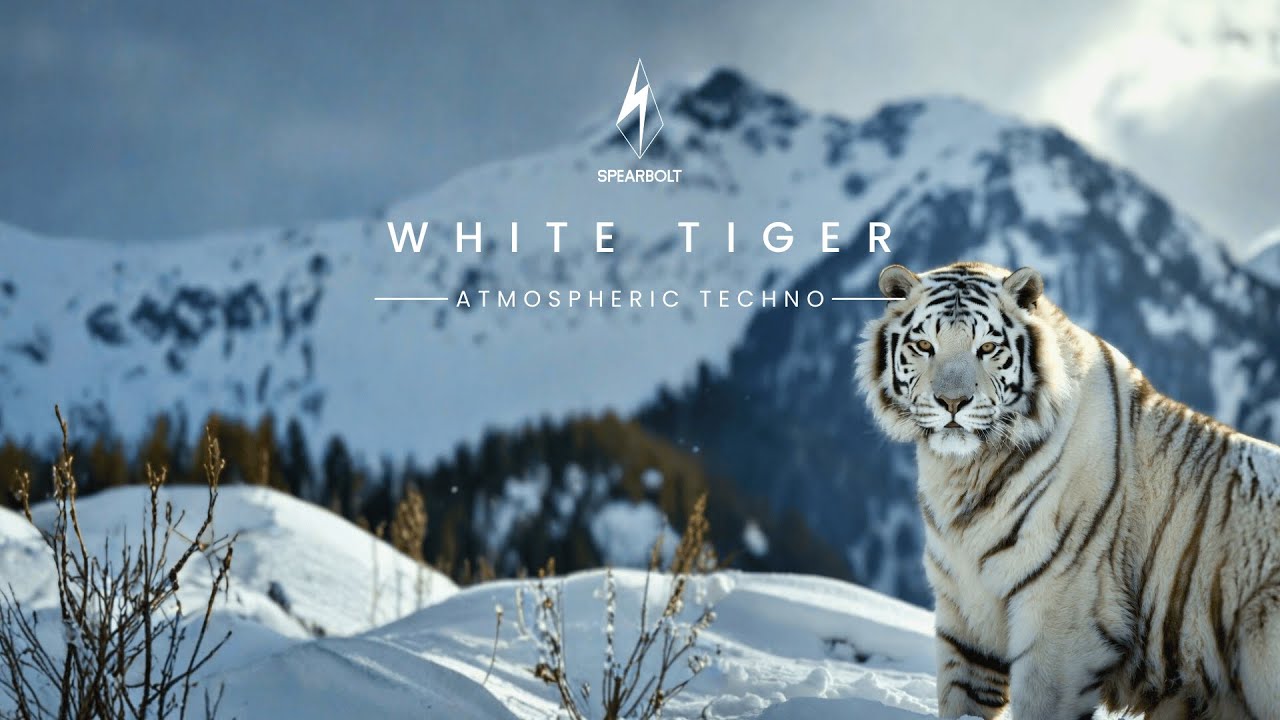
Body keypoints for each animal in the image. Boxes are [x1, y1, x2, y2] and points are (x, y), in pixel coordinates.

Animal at [855, 261, 1280, 719]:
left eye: (987, 348)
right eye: (923, 345)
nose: (952, 402)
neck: (963, 472)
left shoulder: (1064, 620)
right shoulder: (966, 612)